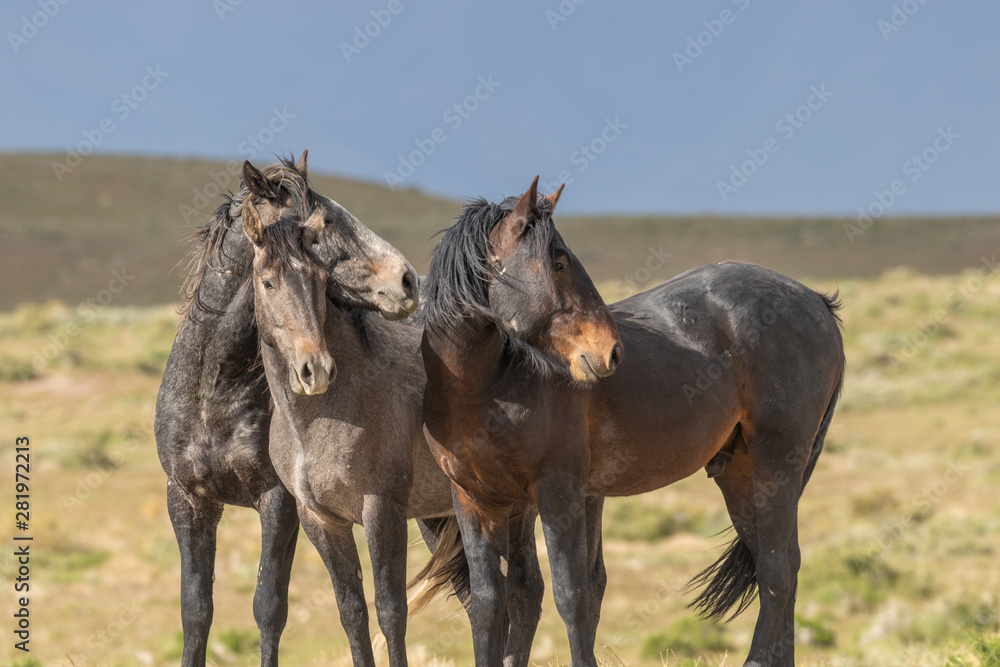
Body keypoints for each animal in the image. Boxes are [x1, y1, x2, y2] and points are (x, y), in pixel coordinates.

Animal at [154, 153, 420, 667]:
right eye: (323, 220)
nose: (407, 280)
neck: (214, 391)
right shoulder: (188, 499)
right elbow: (195, 611)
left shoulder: (278, 501)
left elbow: (268, 606)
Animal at [414, 179, 844, 667]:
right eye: (558, 262)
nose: (612, 352)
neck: (485, 387)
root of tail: (816, 302)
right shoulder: (476, 502)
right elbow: (488, 603)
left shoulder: (558, 494)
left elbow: (572, 596)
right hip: (740, 474)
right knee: (781, 565)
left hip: (778, 463)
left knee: (777, 571)